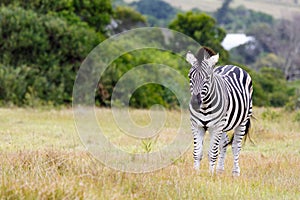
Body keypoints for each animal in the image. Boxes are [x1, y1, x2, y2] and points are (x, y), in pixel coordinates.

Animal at [185, 46, 253, 175]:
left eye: (207, 78)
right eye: (190, 77)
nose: (195, 103)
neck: (205, 106)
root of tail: (233, 66)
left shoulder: (216, 127)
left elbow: (212, 153)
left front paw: (210, 175)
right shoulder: (196, 126)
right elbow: (197, 153)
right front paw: (196, 174)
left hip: (242, 121)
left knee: (236, 146)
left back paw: (235, 172)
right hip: (223, 126)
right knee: (224, 143)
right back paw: (220, 170)